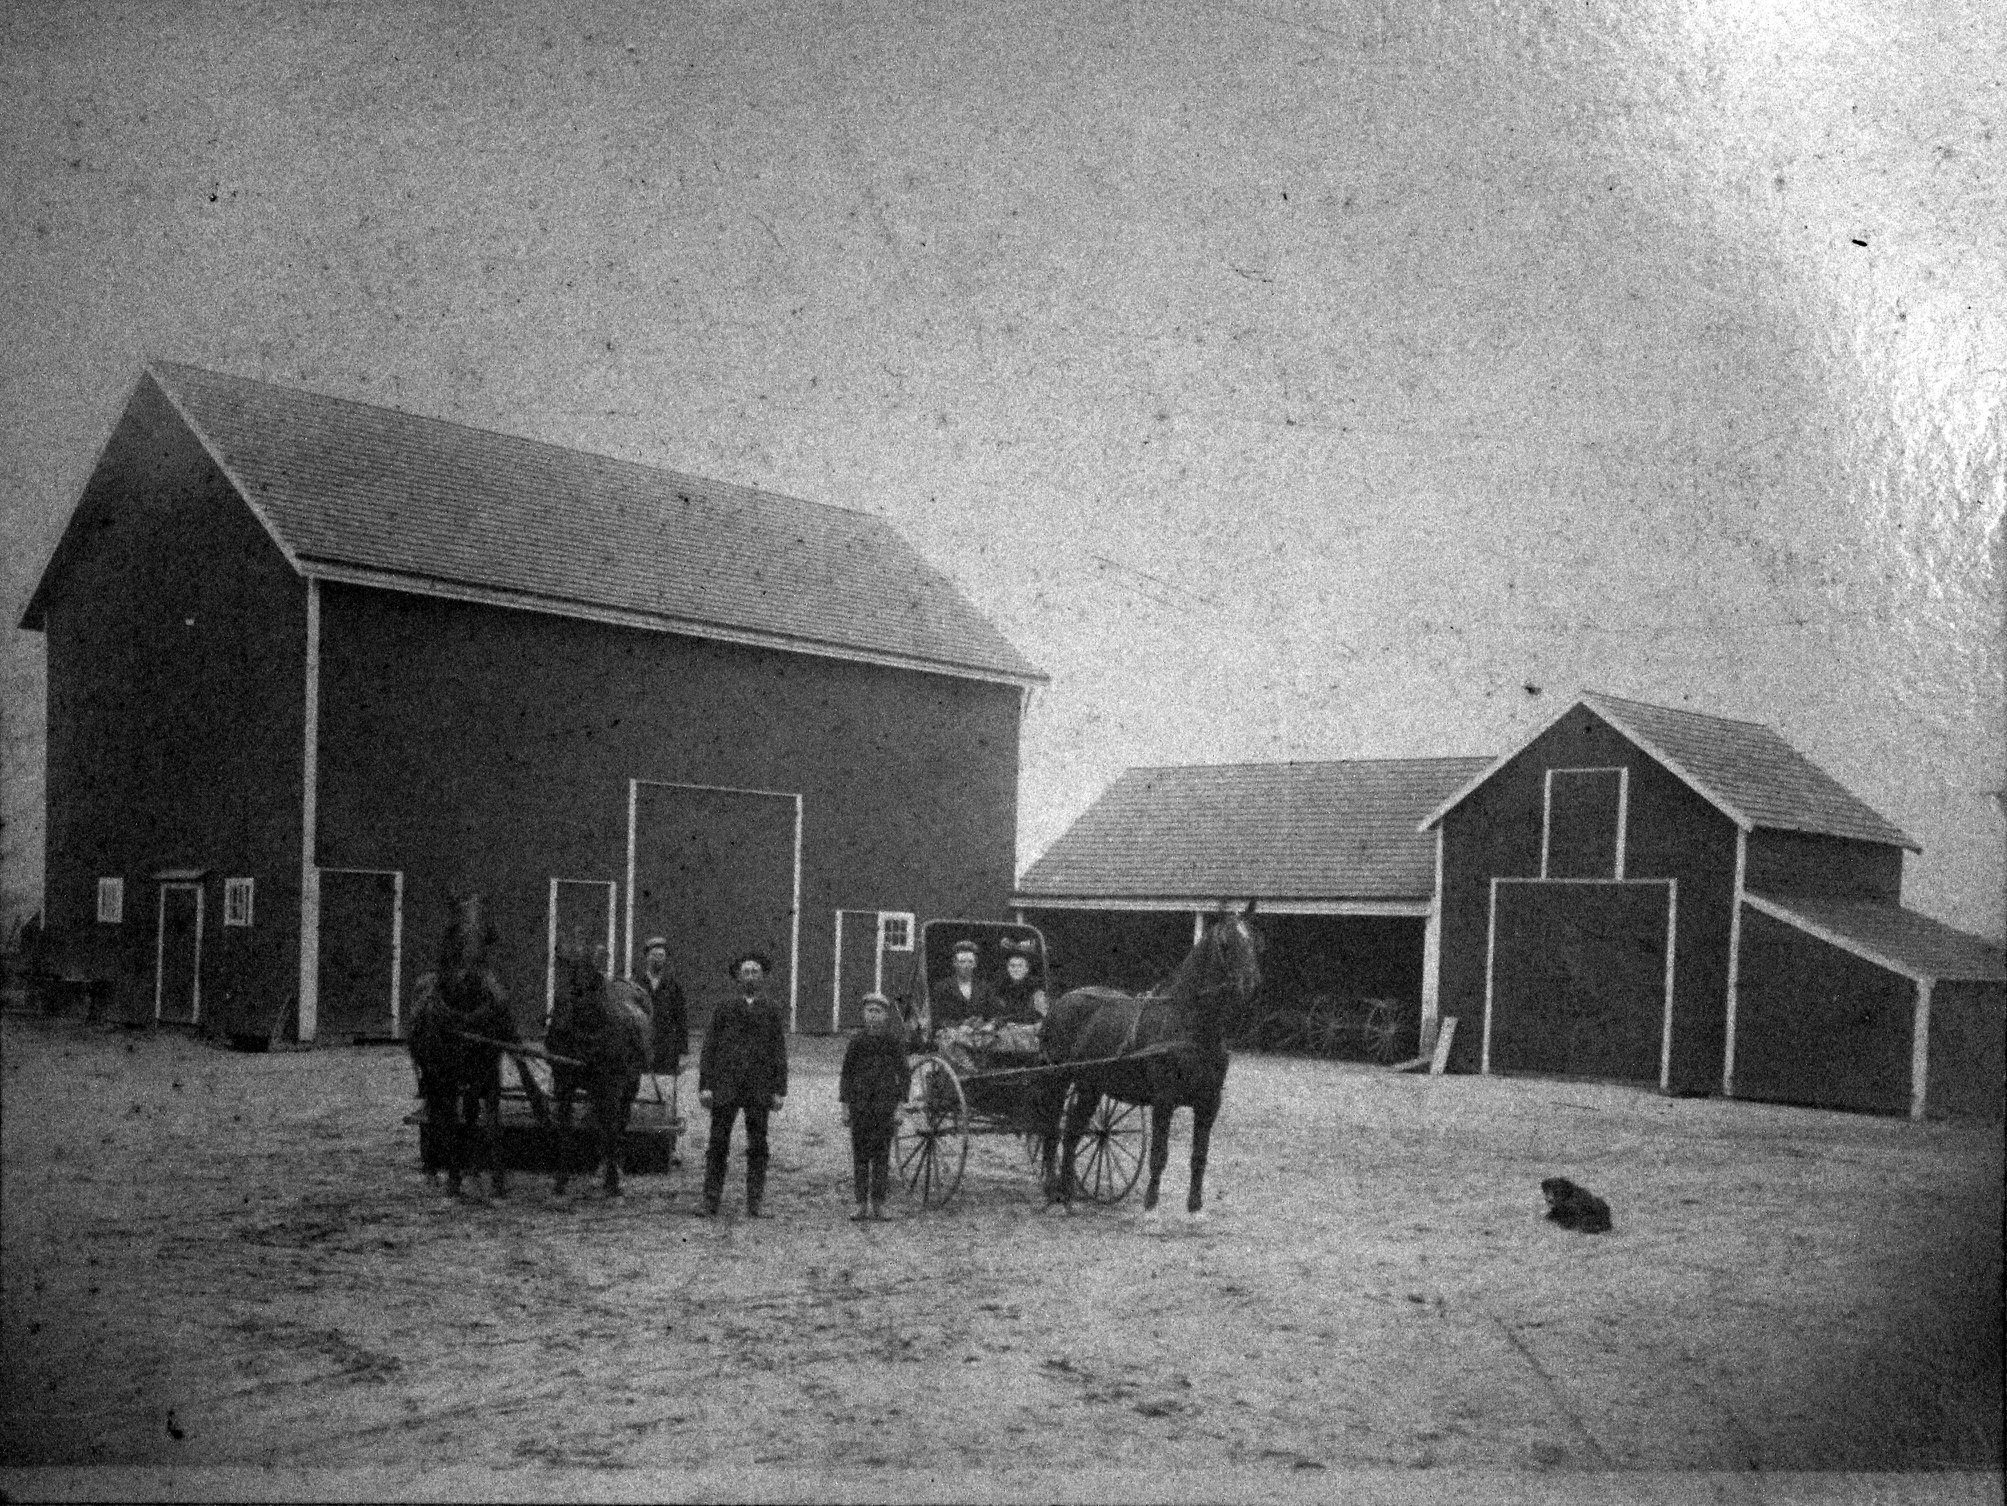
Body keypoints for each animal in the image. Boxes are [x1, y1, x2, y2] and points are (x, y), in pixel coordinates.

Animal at [903, 907, 1260, 1212]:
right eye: (1226, 943)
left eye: (1255, 940)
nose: (1251, 986)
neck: (1188, 1025)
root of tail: (1059, 1006)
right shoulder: (1164, 1099)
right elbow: (1160, 1153)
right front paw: (1151, 1204)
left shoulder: (1209, 1103)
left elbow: (1200, 1155)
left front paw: (1194, 1206)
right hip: (1058, 1079)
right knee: (1051, 1129)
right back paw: (1053, 1188)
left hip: (1090, 1085)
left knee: (1072, 1130)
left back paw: (1067, 1189)